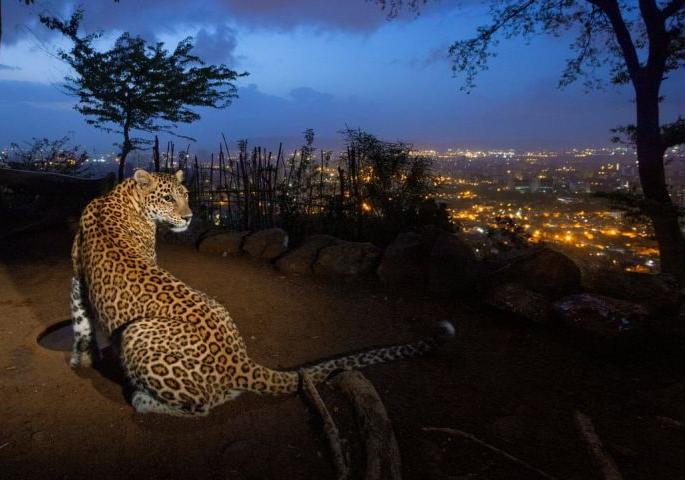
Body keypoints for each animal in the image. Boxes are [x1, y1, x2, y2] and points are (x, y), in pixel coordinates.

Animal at [69, 168, 455, 416]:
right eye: (168, 198)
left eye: (186, 197)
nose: (190, 217)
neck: (120, 197)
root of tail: (239, 360)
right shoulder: (78, 275)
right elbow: (81, 320)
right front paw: (84, 357)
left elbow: (80, 319)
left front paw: (83, 358)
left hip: (137, 332)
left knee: (202, 406)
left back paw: (143, 401)